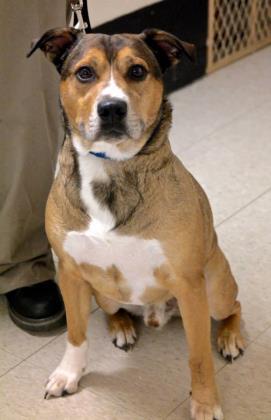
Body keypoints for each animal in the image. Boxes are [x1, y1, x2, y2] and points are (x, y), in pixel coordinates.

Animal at [28, 27, 245, 418]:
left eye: (138, 71)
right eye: (85, 73)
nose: (112, 108)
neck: (111, 168)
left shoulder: (189, 284)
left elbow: (199, 357)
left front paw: (205, 404)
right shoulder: (69, 272)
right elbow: (76, 332)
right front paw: (69, 374)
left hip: (215, 288)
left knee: (233, 308)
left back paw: (230, 336)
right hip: (103, 292)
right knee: (109, 311)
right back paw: (122, 326)